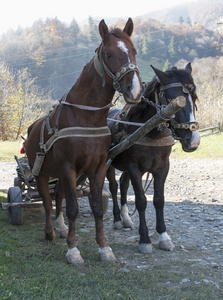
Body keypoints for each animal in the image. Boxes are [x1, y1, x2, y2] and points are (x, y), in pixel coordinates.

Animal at [24, 17, 143, 264]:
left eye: (134, 50)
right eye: (109, 53)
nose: (135, 91)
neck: (86, 116)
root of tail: (33, 127)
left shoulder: (97, 168)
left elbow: (96, 207)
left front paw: (104, 248)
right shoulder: (68, 167)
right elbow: (73, 208)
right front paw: (73, 250)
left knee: (58, 196)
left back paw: (60, 228)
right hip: (41, 173)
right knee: (48, 202)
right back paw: (50, 231)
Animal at [106, 62, 200, 253]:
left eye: (194, 98)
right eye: (171, 99)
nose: (193, 141)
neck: (149, 131)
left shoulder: (162, 168)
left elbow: (158, 200)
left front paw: (164, 236)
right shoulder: (134, 168)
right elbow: (141, 201)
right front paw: (145, 239)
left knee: (123, 186)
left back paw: (126, 219)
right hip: (109, 164)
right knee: (113, 187)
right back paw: (118, 219)